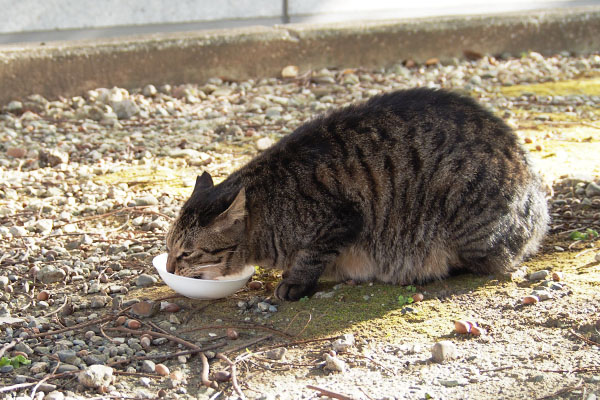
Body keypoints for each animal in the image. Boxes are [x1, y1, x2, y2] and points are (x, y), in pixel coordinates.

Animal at [164, 88, 548, 300]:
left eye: (186, 253)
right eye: (168, 248)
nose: (168, 267)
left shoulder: (341, 219)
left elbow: (310, 256)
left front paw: (294, 283)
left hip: (468, 219)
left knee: (492, 262)